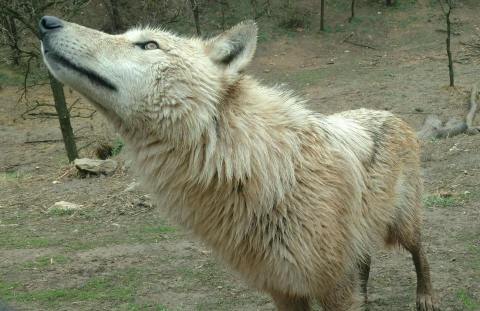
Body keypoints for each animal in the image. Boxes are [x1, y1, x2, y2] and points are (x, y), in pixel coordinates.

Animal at [40, 15, 438, 310]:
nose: (46, 21)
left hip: (402, 225)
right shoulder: (283, 288)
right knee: (366, 263)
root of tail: (388, 113)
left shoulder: (333, 287)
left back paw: (426, 297)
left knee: (420, 251)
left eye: (148, 44)